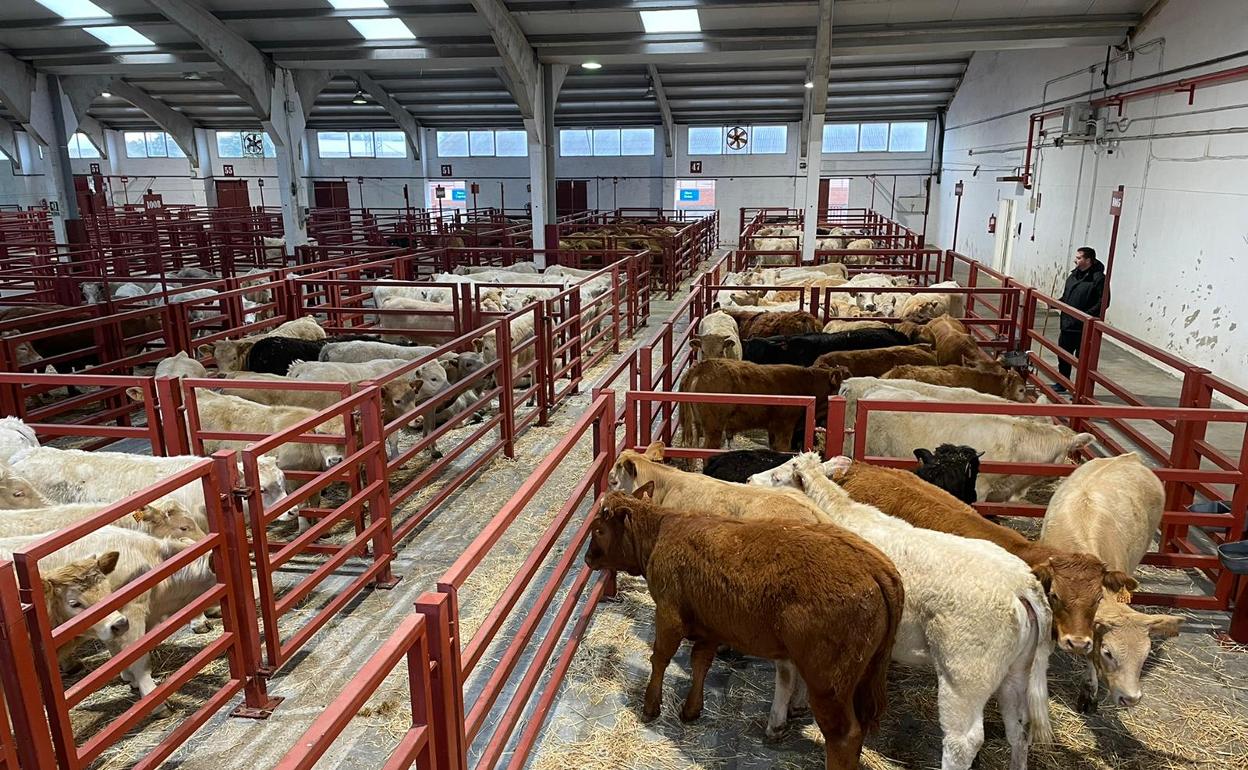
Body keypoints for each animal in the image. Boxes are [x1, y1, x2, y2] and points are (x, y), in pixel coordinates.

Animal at [581, 489, 898, 763]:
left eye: (599, 530)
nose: (587, 558)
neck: (663, 530)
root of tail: (874, 565)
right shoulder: (710, 624)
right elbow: (700, 663)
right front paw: (692, 709)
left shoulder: (669, 615)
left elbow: (660, 658)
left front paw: (650, 706)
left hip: (828, 683)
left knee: (844, 736)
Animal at [678, 359, 853, 449]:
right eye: (842, 384)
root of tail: (704, 364)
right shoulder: (785, 427)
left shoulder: (774, 428)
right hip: (714, 427)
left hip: (697, 425)